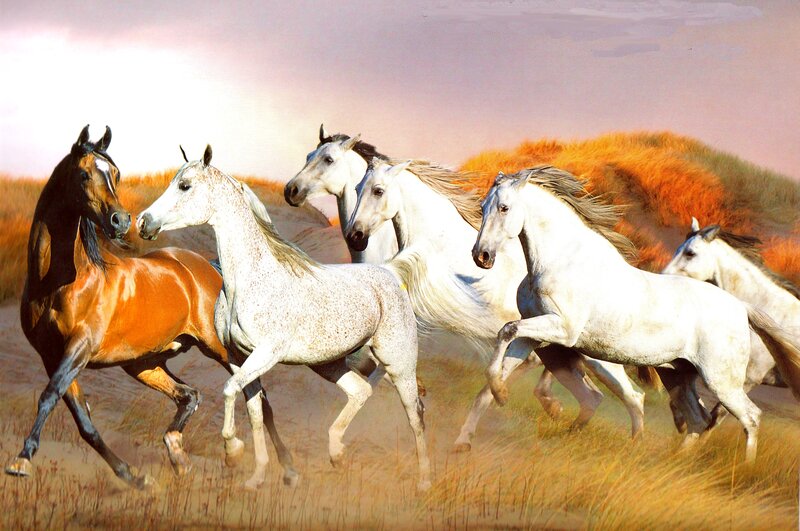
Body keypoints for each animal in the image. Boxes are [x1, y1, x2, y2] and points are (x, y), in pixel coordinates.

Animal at [4, 126, 299, 488]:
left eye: (115, 174)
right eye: (84, 174)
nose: (120, 221)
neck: (60, 281)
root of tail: (210, 267)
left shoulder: (79, 349)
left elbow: (49, 396)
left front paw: (21, 459)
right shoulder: (52, 356)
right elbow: (82, 419)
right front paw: (135, 477)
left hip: (222, 350)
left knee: (258, 397)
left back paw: (275, 466)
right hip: (144, 363)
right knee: (190, 395)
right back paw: (179, 456)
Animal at [137, 146, 431, 491]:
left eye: (185, 186)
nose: (143, 222)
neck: (251, 279)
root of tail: (390, 272)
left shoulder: (266, 354)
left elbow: (229, 390)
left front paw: (232, 451)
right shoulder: (239, 358)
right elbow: (254, 410)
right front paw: (256, 478)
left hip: (398, 364)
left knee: (414, 413)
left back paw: (423, 481)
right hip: (327, 364)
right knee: (361, 391)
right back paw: (336, 453)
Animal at [342, 155, 646, 448]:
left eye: (378, 190)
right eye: (356, 189)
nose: (354, 237)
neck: (437, 249)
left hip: (599, 355)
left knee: (632, 396)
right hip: (560, 354)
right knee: (591, 396)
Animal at [662, 217, 798, 431]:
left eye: (690, 253)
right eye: (677, 249)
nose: (662, 275)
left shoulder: (747, 380)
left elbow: (715, 418)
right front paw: (682, 424)